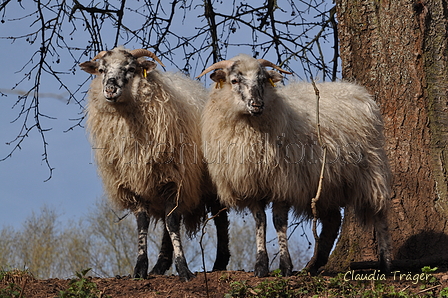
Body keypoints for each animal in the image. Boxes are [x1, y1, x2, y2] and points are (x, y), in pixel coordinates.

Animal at [78, 46, 229, 280]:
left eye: (131, 68)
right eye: (101, 70)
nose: (110, 89)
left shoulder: (176, 180)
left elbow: (172, 223)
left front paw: (183, 269)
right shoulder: (136, 183)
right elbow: (144, 224)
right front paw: (140, 268)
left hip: (212, 183)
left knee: (219, 220)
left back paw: (219, 264)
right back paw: (159, 266)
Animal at [198, 54, 390, 278]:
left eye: (262, 79)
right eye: (234, 80)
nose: (257, 105)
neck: (250, 127)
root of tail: (358, 91)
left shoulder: (283, 182)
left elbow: (278, 222)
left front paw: (285, 266)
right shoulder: (252, 184)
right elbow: (260, 221)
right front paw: (261, 266)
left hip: (371, 171)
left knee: (380, 214)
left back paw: (386, 264)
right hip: (326, 186)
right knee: (332, 221)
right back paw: (314, 266)